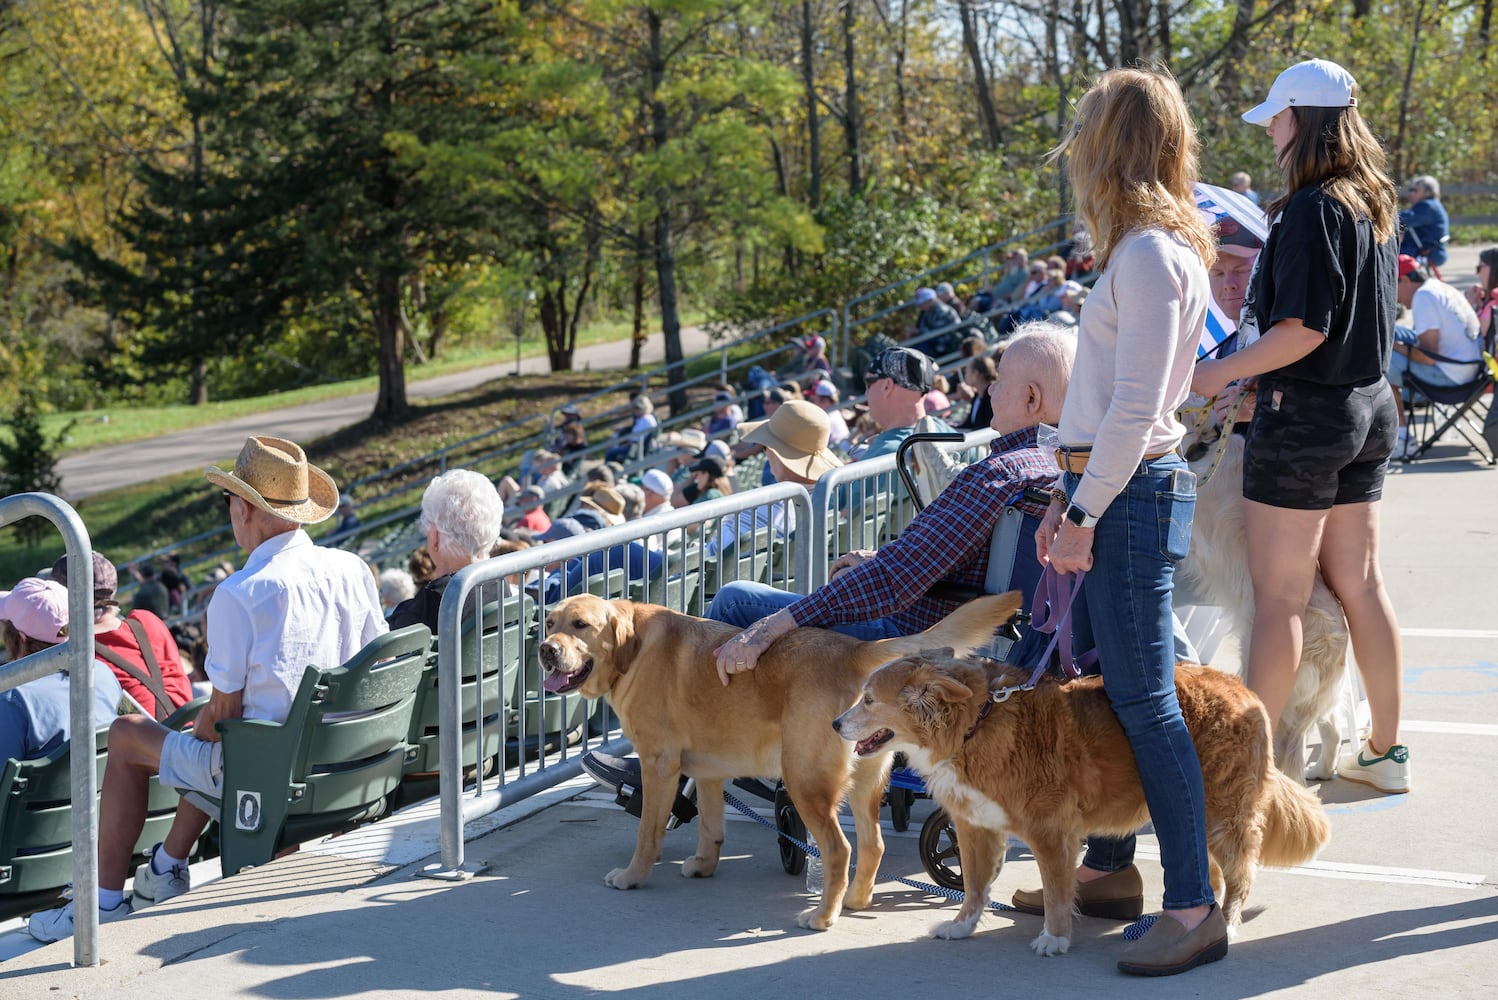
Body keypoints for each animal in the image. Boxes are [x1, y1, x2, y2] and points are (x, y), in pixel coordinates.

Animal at [533, 592, 1024, 928]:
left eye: (581, 625)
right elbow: (710, 826)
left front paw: (633, 876)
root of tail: (852, 649)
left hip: (804, 779)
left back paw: (823, 917)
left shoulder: (659, 764)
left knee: (838, 849)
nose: (545, 649)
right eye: (551, 622)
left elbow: (647, 834)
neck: (631, 651)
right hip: (866, 781)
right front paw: (704, 866)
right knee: (872, 845)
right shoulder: (708, 772)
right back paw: (855, 900)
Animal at [832, 652, 1336, 958]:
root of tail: (1240, 687)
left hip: (1223, 817)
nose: (835, 724)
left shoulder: (1051, 833)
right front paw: (961, 925)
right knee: (1209, 870)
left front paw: (1055, 937)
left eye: (869, 700)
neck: (975, 722)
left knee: (1240, 877)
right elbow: (974, 886)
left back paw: (1225, 924)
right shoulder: (976, 829)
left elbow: (1057, 891)